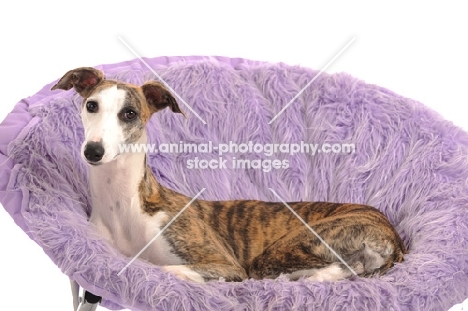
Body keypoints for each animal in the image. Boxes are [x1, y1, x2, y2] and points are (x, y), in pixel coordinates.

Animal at [53, 67, 408, 286]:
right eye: (91, 105)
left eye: (129, 113)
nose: (93, 151)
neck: (123, 202)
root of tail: (393, 236)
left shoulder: (227, 264)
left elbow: (167, 268)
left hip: (282, 252)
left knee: (337, 269)